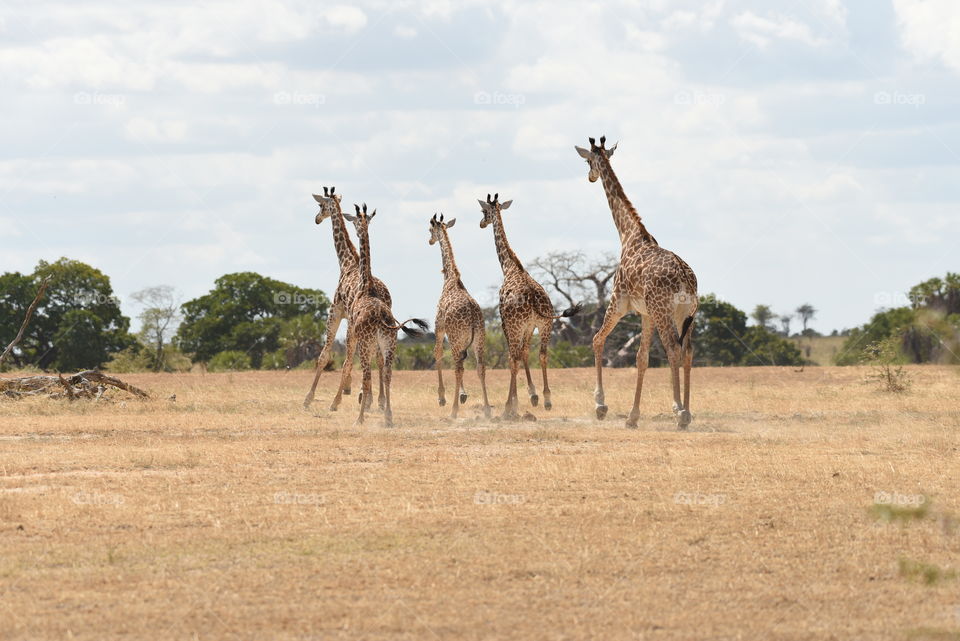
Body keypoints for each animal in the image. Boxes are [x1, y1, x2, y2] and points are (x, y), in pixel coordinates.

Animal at [300, 188, 390, 412]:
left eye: (320, 205)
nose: (316, 219)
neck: (347, 263)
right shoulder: (350, 319)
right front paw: (361, 394)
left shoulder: (335, 312)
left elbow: (325, 356)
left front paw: (308, 398)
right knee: (378, 357)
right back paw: (376, 400)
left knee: (352, 358)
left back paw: (339, 400)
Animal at [340, 204, 426, 424]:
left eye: (354, 221)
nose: (355, 231)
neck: (367, 287)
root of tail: (381, 319)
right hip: (390, 343)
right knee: (387, 373)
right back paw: (388, 417)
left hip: (367, 343)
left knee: (367, 374)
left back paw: (360, 418)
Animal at [430, 212, 492, 418]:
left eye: (430, 229)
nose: (430, 240)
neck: (450, 279)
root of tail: (473, 315)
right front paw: (464, 395)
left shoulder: (439, 327)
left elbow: (438, 353)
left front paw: (442, 398)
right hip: (480, 338)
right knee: (480, 367)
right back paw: (487, 410)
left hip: (456, 338)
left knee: (458, 367)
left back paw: (453, 410)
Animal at [478, 192, 580, 420]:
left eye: (483, 211)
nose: (481, 223)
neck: (509, 266)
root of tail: (533, 299)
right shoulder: (530, 326)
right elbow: (525, 353)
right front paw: (533, 395)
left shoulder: (506, 322)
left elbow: (513, 357)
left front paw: (515, 403)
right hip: (545, 325)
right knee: (542, 354)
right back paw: (548, 399)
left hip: (518, 326)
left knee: (514, 357)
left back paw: (507, 407)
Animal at [572, 136, 700, 428]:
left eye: (588, 161)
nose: (590, 177)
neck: (628, 235)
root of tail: (686, 279)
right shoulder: (646, 313)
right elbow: (642, 359)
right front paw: (632, 416)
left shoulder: (618, 302)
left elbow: (597, 339)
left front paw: (601, 405)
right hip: (684, 313)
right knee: (687, 351)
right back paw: (687, 412)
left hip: (664, 311)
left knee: (673, 349)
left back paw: (679, 412)